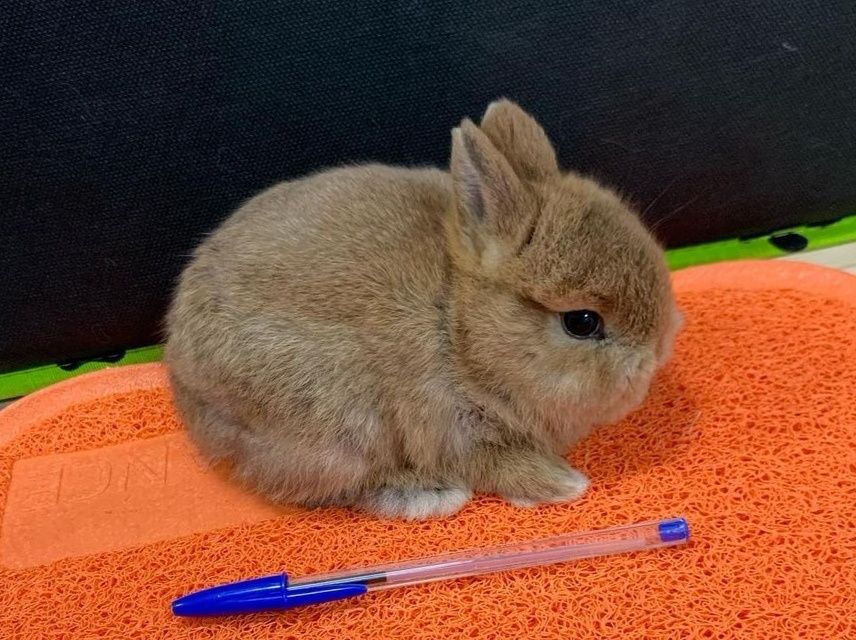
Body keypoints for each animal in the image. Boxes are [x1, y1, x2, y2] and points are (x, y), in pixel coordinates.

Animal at [164, 99, 680, 520]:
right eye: (582, 322)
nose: (656, 355)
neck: (456, 326)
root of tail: (185, 386)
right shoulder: (455, 431)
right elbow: (498, 464)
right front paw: (564, 485)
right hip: (340, 427)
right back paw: (427, 496)